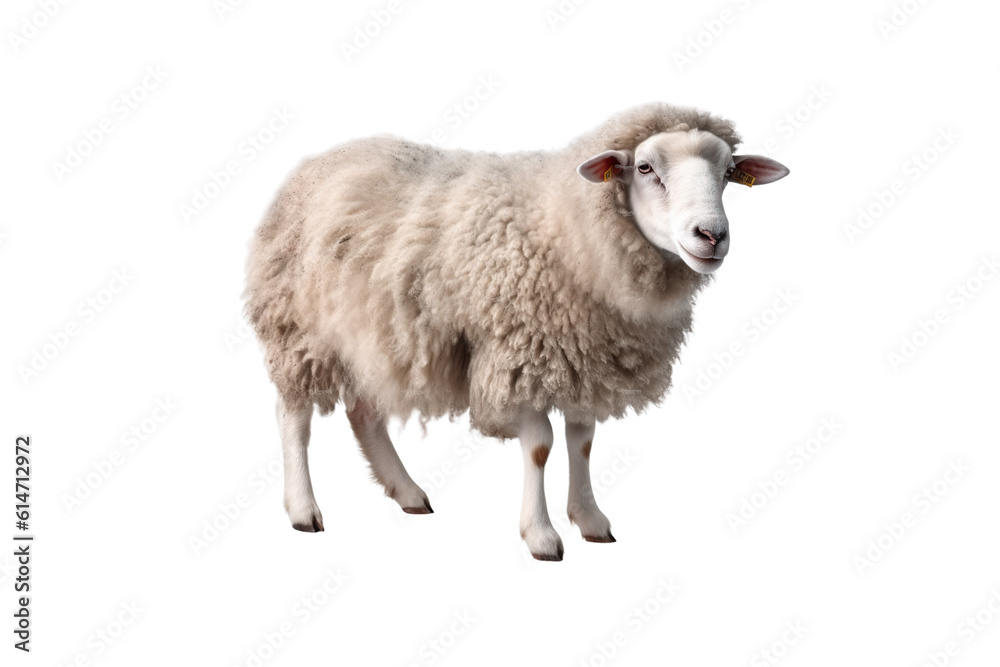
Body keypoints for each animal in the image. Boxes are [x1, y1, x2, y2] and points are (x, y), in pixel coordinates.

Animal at [244, 102, 789, 561]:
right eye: (645, 168)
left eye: (728, 173)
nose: (712, 235)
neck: (565, 227)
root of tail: (319, 161)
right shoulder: (518, 353)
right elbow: (541, 446)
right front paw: (541, 535)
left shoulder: (584, 357)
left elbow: (582, 440)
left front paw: (590, 519)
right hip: (301, 328)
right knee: (293, 415)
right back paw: (303, 509)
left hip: (372, 332)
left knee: (364, 411)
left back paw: (407, 491)